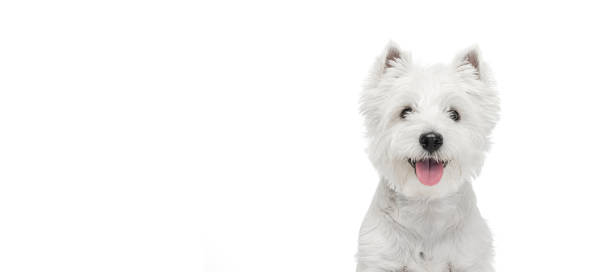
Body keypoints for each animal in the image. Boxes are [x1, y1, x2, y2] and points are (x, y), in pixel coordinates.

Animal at [356, 41, 500, 270]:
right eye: (405, 112)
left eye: (454, 114)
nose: (431, 139)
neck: (427, 207)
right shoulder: (379, 258)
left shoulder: (470, 259)